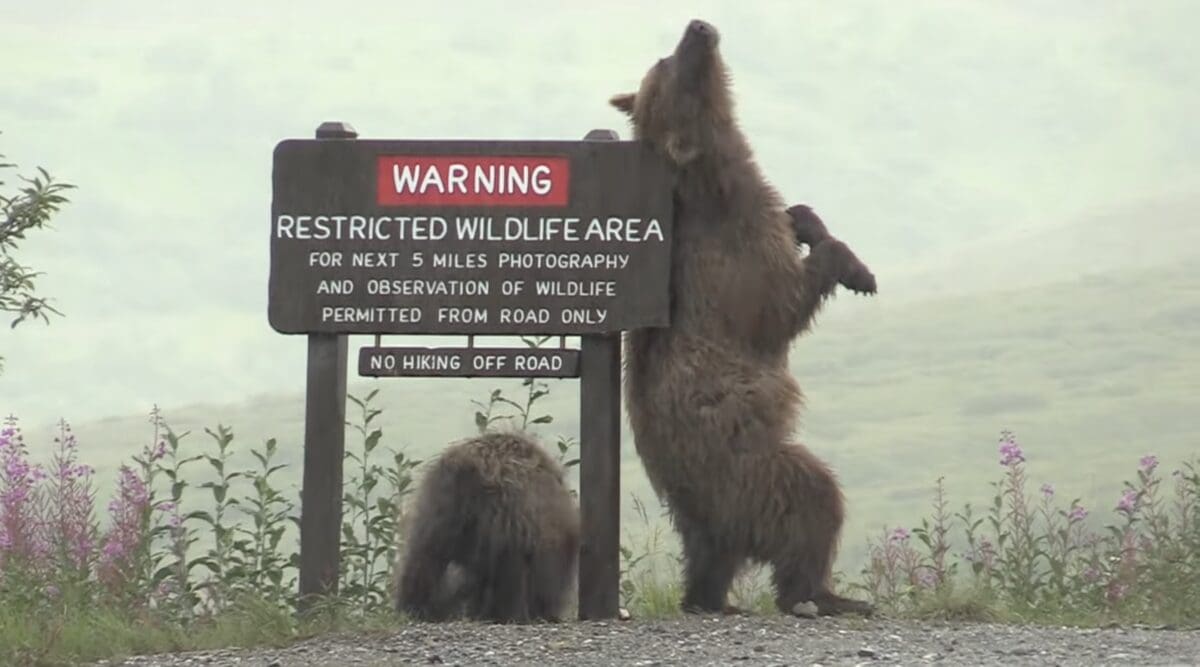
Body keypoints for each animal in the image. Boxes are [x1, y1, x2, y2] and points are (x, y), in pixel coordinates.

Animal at [609, 19, 875, 617]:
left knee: (709, 559)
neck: (713, 180)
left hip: (710, 512)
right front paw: (854, 269)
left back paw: (713, 599)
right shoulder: (734, 263)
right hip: (750, 472)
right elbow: (780, 304)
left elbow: (795, 217)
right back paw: (828, 595)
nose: (697, 28)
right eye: (674, 71)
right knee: (814, 500)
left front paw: (807, 220)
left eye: (661, 58)